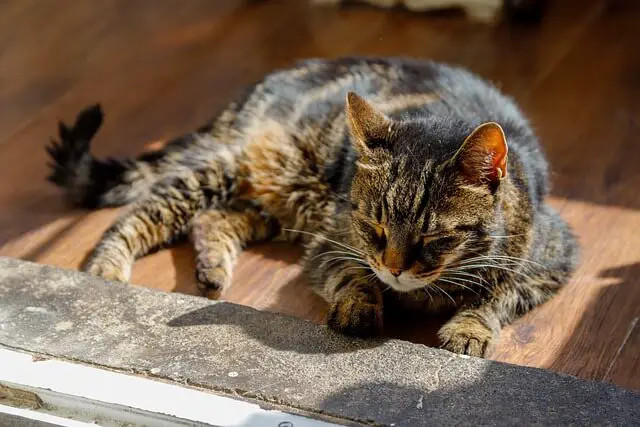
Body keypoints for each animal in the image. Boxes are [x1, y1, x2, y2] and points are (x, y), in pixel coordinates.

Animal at [47, 56, 576, 358]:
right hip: (226, 169)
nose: (395, 269)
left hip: (276, 205)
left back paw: (212, 270)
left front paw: (469, 327)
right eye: (374, 226)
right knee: (138, 215)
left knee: (213, 219)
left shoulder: (553, 259)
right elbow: (353, 274)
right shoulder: (332, 241)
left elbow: (498, 294)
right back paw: (106, 271)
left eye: (433, 237)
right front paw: (361, 304)